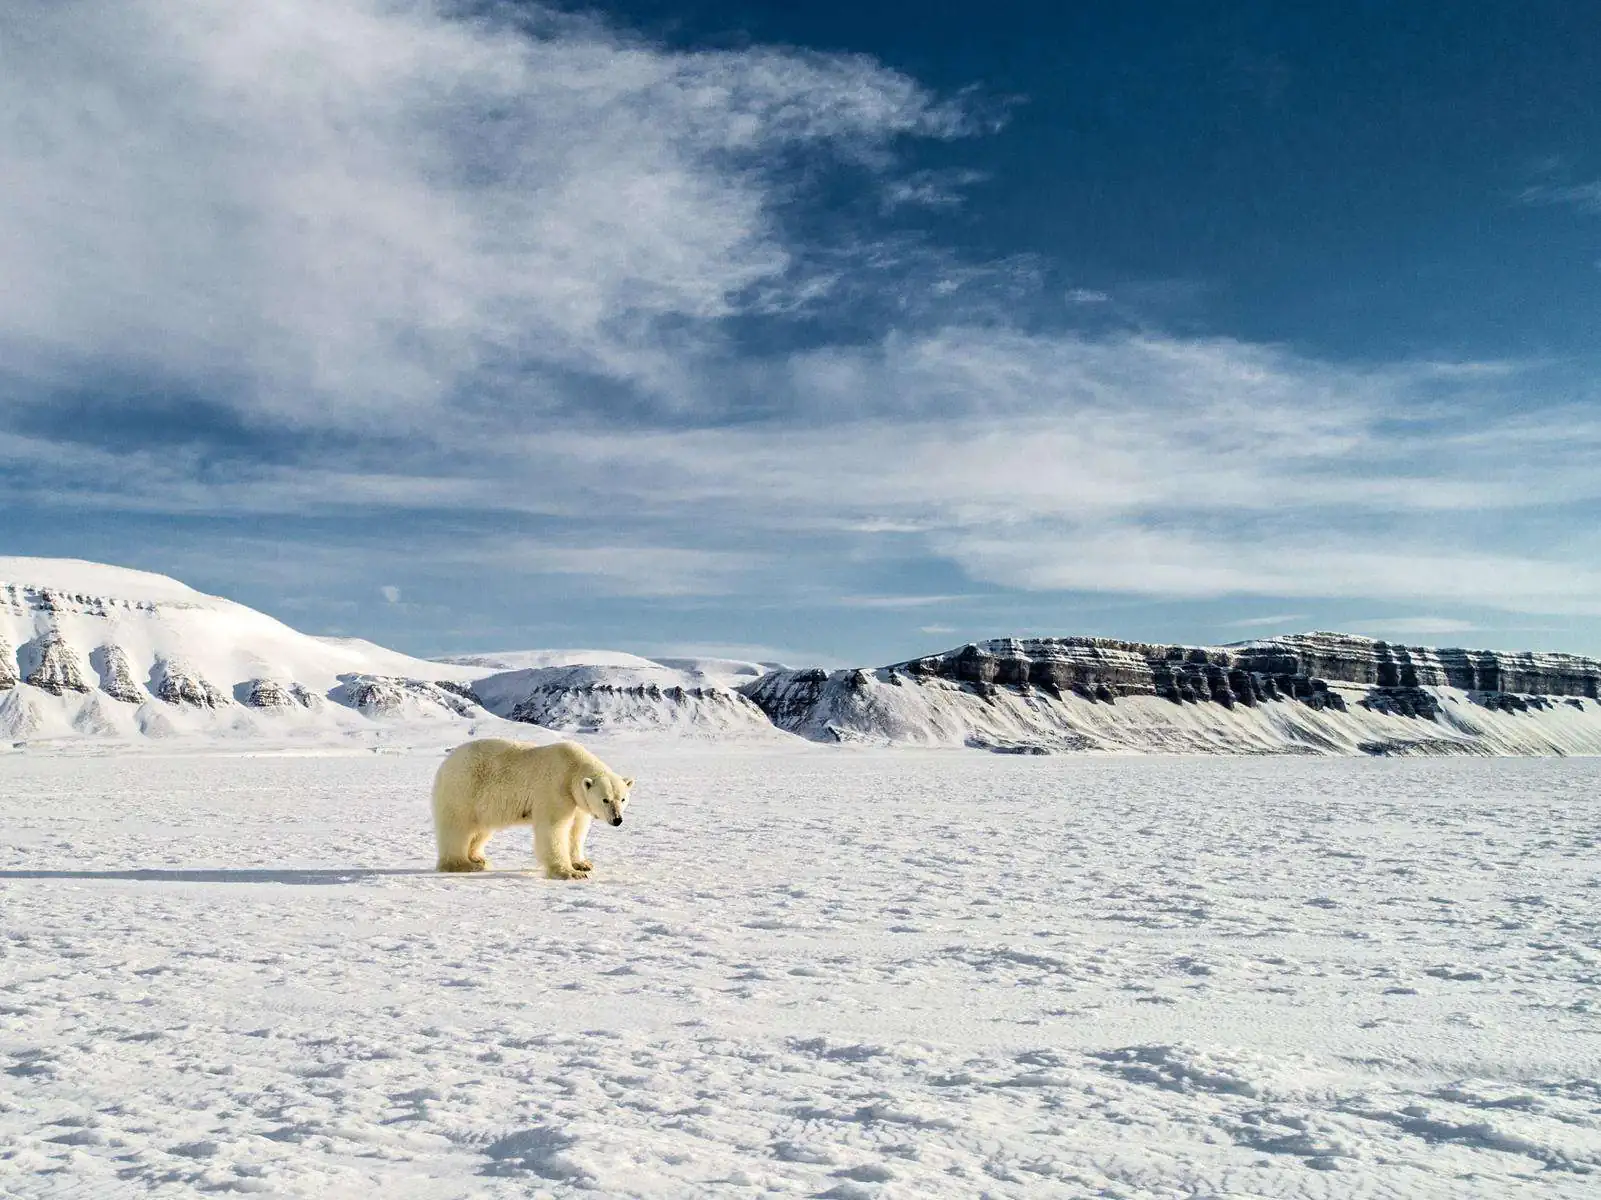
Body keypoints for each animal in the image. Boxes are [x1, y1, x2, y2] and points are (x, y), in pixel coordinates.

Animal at [438, 739, 637, 876]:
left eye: (622, 799)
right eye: (605, 800)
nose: (617, 820)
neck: (572, 767)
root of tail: (446, 763)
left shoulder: (577, 801)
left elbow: (577, 830)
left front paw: (583, 864)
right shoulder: (555, 788)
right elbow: (553, 828)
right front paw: (569, 873)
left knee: (481, 829)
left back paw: (478, 858)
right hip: (464, 789)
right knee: (457, 827)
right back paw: (462, 864)